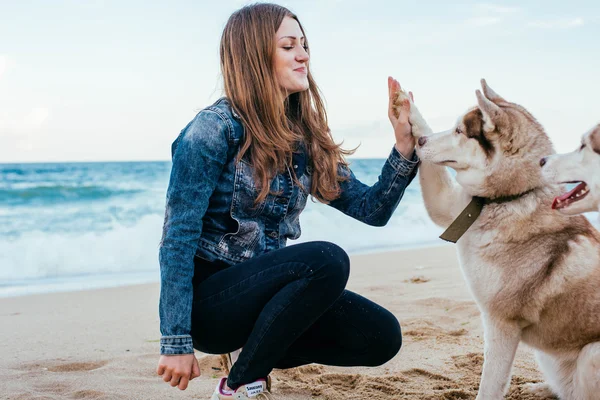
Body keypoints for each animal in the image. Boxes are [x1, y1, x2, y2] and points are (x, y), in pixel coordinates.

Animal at [398, 79, 600, 398]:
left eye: (459, 131)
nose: (421, 142)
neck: (506, 199)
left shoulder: (501, 324)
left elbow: (490, 384)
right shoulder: (451, 205)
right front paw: (405, 105)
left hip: (592, 353)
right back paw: (537, 388)